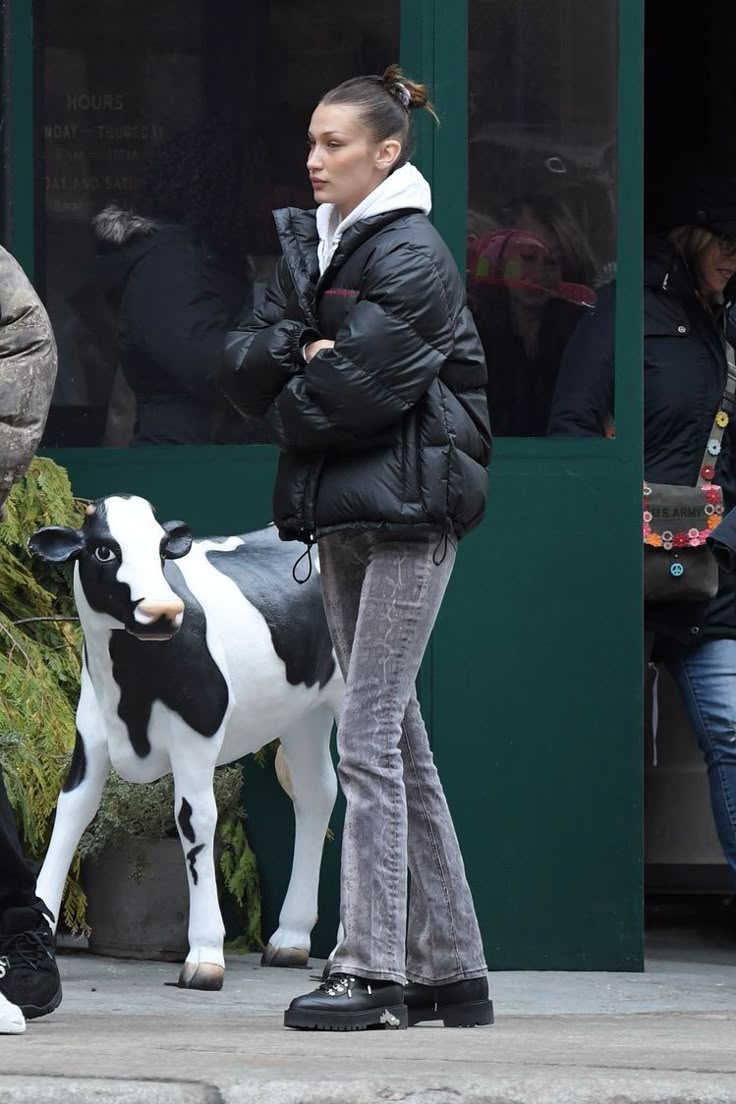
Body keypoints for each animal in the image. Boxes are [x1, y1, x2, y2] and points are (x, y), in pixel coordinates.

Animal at [30, 494, 344, 993]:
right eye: (104, 550)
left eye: (162, 551)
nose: (162, 610)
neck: (130, 694)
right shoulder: (91, 736)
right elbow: (70, 816)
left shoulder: (195, 736)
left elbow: (195, 821)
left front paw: (205, 955)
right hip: (303, 714)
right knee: (316, 794)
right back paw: (291, 939)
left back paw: (338, 954)